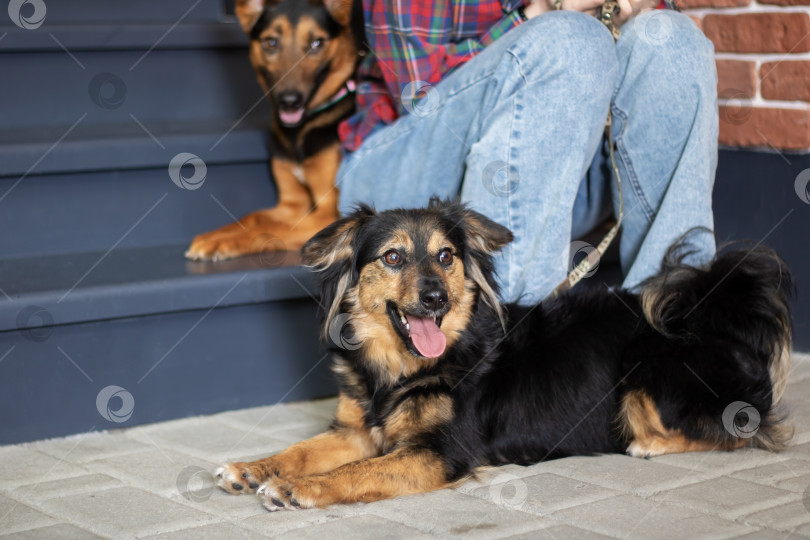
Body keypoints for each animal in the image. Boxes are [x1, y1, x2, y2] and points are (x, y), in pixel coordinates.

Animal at [188, 0, 358, 262]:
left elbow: (270, 228)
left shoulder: (331, 212)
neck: (299, 131)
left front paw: (223, 241)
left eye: (317, 43)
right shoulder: (291, 205)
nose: (289, 101)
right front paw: (217, 233)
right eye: (271, 42)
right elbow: (253, 217)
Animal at [213, 200, 788, 508]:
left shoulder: (440, 453)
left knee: (743, 430)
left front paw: (299, 488)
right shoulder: (354, 429)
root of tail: (713, 313)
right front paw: (252, 468)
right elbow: (300, 449)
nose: (435, 298)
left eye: (446, 256)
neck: (401, 369)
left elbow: (357, 472)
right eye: (393, 257)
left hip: (645, 371)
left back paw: (650, 445)